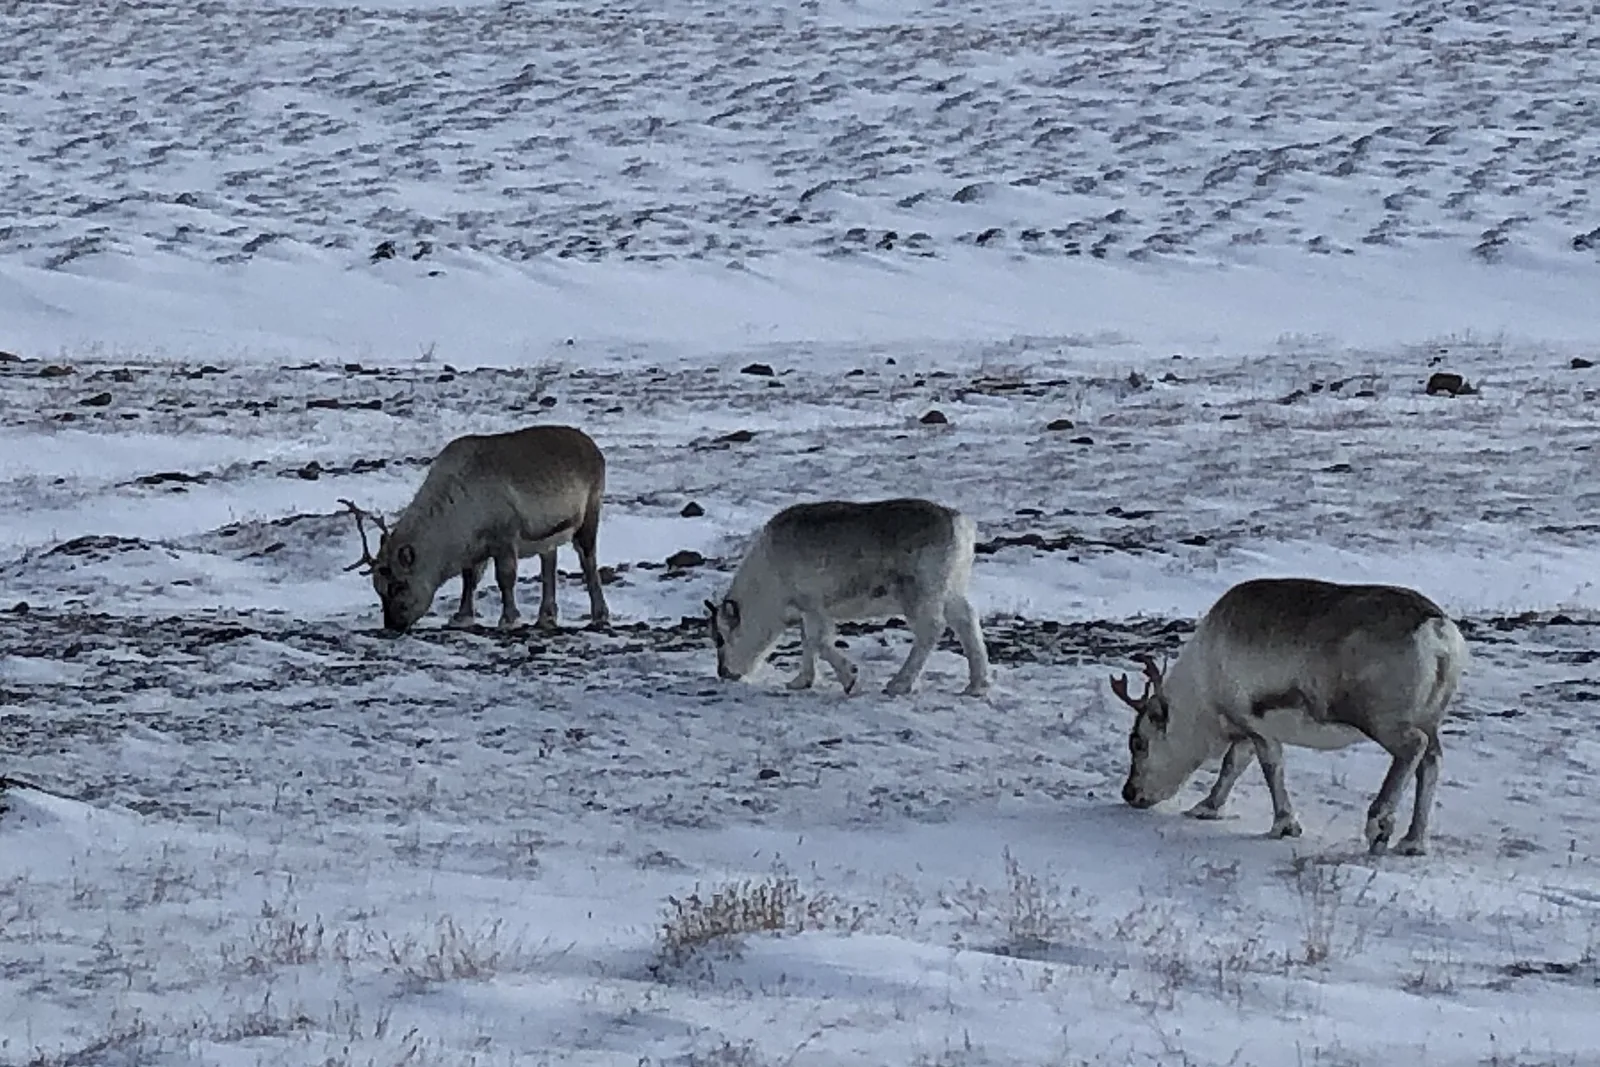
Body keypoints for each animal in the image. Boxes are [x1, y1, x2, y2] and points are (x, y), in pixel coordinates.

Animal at [342, 424, 609, 634]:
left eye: (398, 585)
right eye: (378, 589)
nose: (393, 625)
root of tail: (594, 449)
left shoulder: (505, 536)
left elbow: (505, 577)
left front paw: (508, 619)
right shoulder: (475, 548)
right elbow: (469, 579)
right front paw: (461, 617)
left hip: (590, 512)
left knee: (588, 559)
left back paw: (600, 614)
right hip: (547, 534)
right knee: (548, 563)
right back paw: (546, 616)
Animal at [705, 498, 990, 697]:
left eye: (721, 637)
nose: (724, 673)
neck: (766, 582)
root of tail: (959, 523)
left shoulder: (813, 606)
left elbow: (819, 641)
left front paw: (850, 679)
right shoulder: (806, 612)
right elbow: (808, 643)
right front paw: (800, 682)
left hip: (920, 596)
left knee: (931, 630)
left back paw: (898, 684)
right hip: (951, 592)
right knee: (966, 621)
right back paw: (977, 686)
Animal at [1108, 577, 1468, 855]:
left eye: (1138, 742)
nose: (1130, 793)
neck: (1202, 686)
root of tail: (1437, 631)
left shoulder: (1255, 722)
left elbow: (1268, 768)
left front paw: (1283, 824)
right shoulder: (1247, 730)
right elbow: (1233, 765)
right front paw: (1206, 807)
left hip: (1382, 718)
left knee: (1412, 748)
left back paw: (1378, 827)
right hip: (1431, 717)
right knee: (1431, 760)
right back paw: (1413, 841)